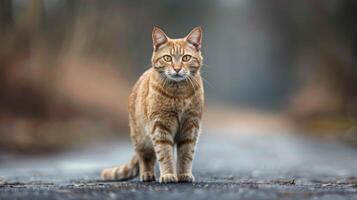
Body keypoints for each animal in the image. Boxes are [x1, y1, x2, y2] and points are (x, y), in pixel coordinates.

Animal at [101, 26, 204, 183]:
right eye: (167, 58)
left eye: (186, 58)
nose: (177, 68)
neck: (179, 92)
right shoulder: (160, 126)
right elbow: (165, 154)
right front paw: (168, 175)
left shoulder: (191, 127)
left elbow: (186, 155)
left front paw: (183, 174)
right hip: (141, 138)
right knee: (145, 157)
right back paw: (147, 174)